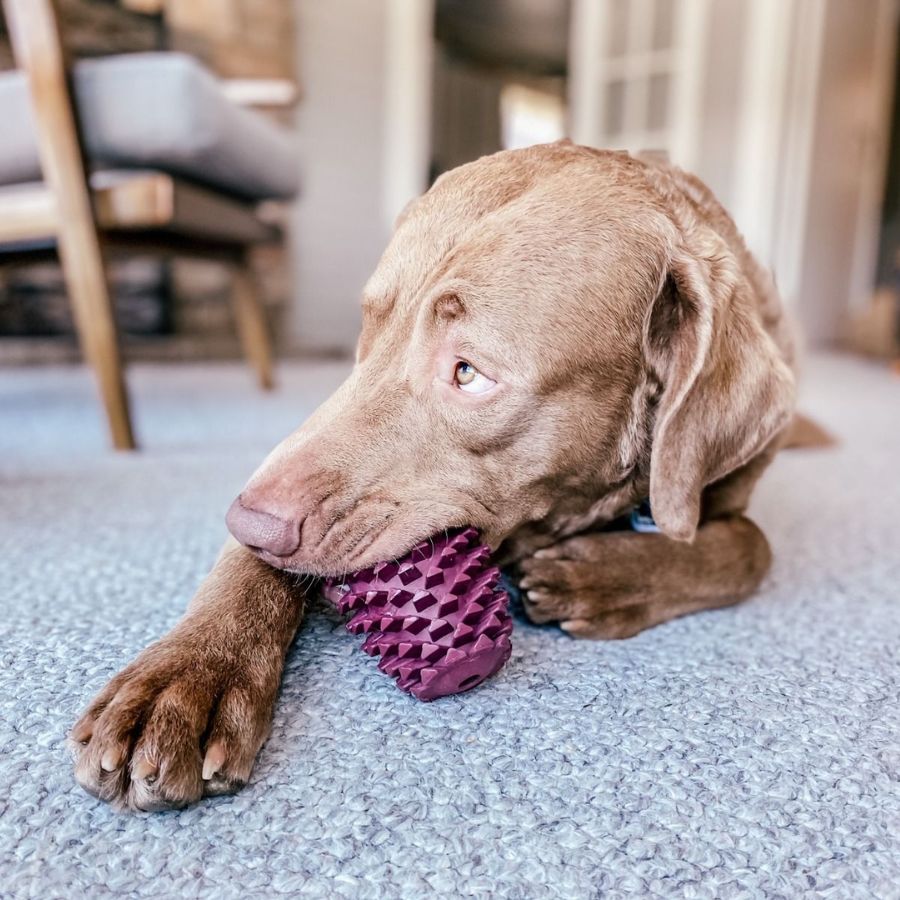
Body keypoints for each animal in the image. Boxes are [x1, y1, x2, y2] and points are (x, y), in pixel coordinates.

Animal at [74, 144, 800, 812]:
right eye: (369, 328)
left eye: (468, 372)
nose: (249, 519)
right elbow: (248, 563)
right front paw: (191, 673)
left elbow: (752, 548)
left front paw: (599, 577)